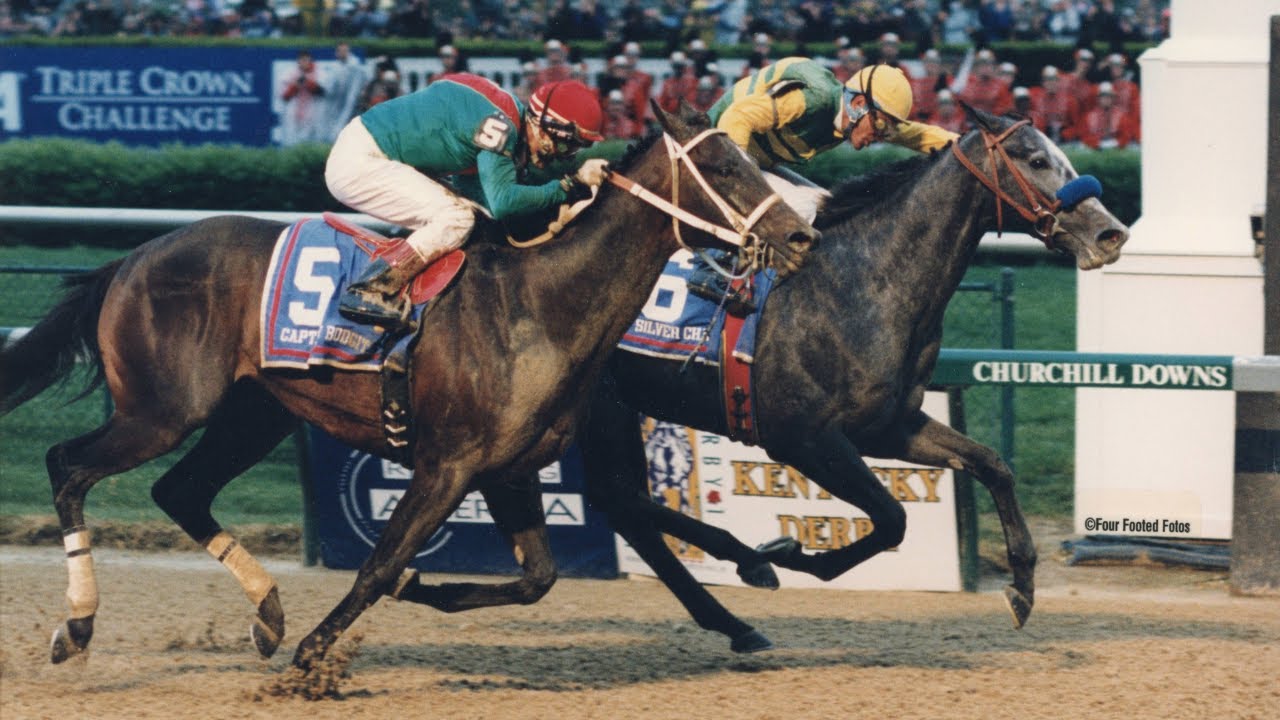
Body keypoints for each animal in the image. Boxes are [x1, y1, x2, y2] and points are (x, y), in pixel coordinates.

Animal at [0, 102, 818, 675]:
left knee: (180, 491)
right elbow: (381, 562)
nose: (801, 236)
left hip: (251, 414)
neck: (541, 305)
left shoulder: (509, 471)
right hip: (163, 408)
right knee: (68, 465)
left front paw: (420, 593)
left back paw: (268, 613)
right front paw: (315, 661)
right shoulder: (446, 465)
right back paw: (78, 626)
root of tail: (131, 258)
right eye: (727, 167)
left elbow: (536, 577)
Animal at [448, 109, 1129, 653]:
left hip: (603, 409)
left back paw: (736, 612)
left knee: (624, 504)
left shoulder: (890, 426)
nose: (1111, 233)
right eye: (1036, 158)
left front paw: (1023, 586)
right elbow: (891, 519)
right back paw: (750, 567)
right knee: (624, 502)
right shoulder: (803, 438)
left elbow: (993, 465)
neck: (862, 281)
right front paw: (794, 553)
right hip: (600, 407)